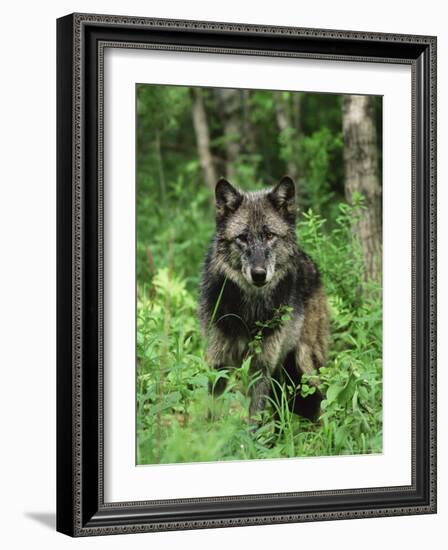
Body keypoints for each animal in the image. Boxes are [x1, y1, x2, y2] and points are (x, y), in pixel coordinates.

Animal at [200, 177, 328, 422]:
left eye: (269, 236)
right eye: (242, 238)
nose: (259, 274)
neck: (248, 311)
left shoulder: (261, 367)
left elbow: (254, 418)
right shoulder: (218, 361)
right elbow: (212, 410)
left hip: (304, 364)